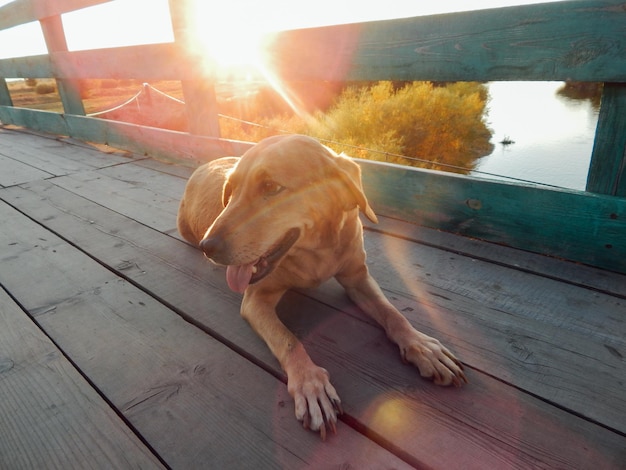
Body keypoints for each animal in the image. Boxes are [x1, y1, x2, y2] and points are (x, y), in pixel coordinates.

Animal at [176, 134, 464, 438]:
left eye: (271, 187)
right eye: (229, 190)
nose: (208, 246)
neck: (317, 248)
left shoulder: (358, 278)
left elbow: (393, 313)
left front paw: (422, 346)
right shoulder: (256, 300)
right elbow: (289, 340)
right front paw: (310, 384)